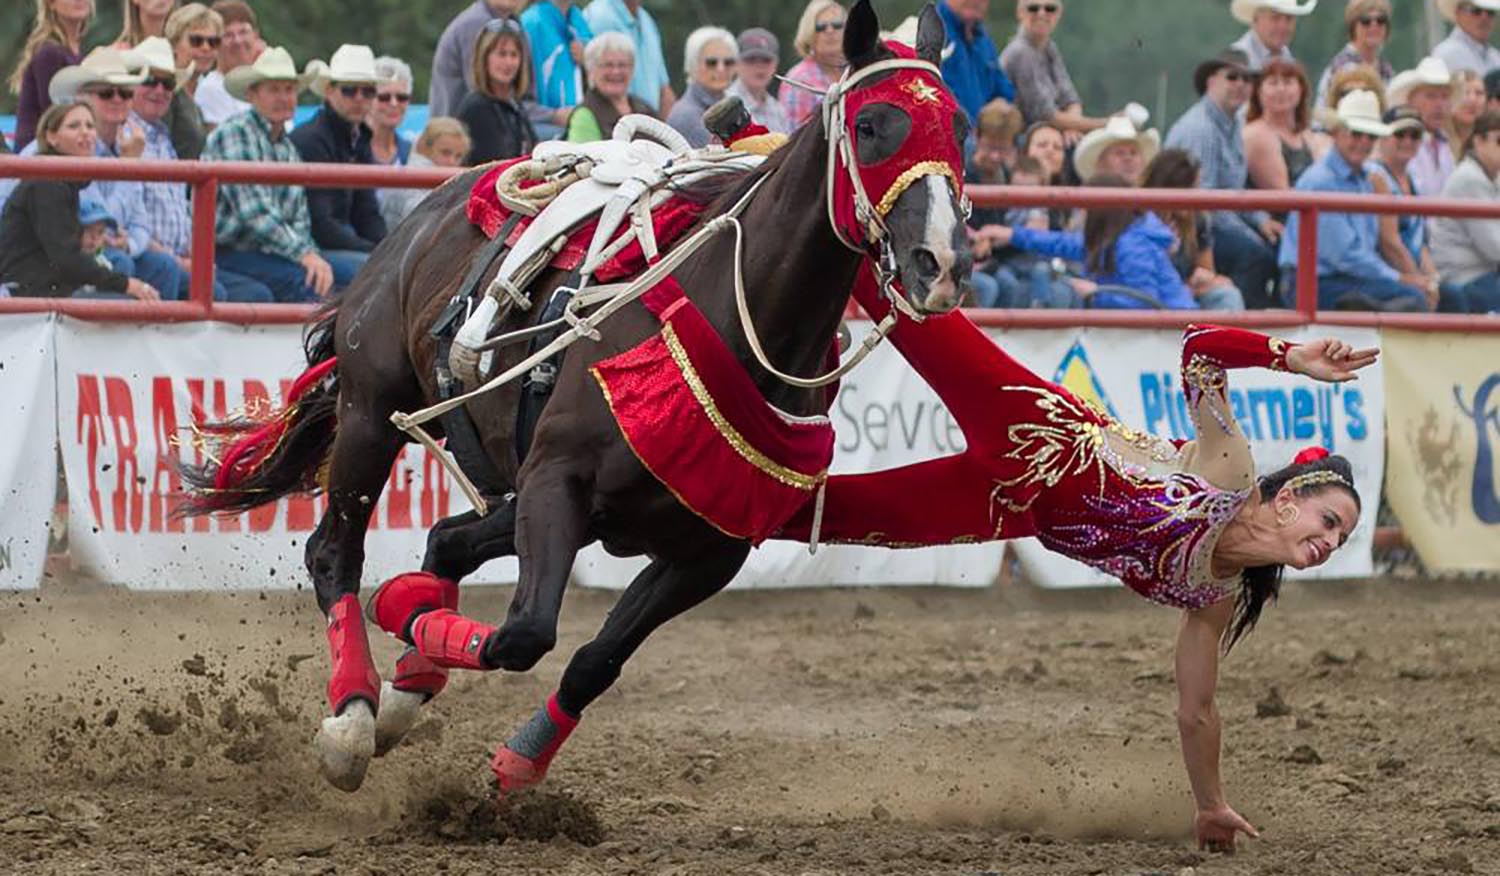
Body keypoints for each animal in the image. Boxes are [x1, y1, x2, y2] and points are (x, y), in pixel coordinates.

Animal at [184, 0, 972, 792]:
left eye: (959, 126)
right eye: (870, 125)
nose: (942, 261)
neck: (732, 319)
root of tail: (421, 217)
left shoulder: (711, 549)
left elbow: (594, 658)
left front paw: (519, 757)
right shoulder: (557, 479)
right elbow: (526, 630)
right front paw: (401, 623)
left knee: (447, 542)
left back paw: (410, 681)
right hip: (373, 415)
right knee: (335, 553)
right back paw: (352, 714)